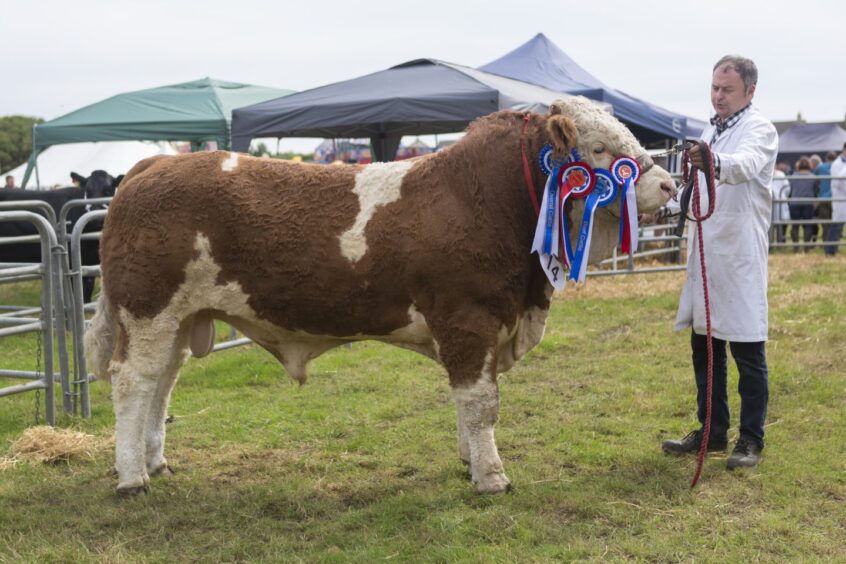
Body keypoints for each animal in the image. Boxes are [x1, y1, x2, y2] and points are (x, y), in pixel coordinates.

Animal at [86, 96, 680, 494]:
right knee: (134, 382)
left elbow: (466, 403)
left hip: (180, 318)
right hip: (147, 309)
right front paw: (491, 477)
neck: (484, 200)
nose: (670, 185)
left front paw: (470, 462)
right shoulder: (469, 318)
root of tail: (152, 165)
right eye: (599, 148)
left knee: (162, 385)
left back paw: (154, 462)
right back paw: (132, 478)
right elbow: (480, 403)